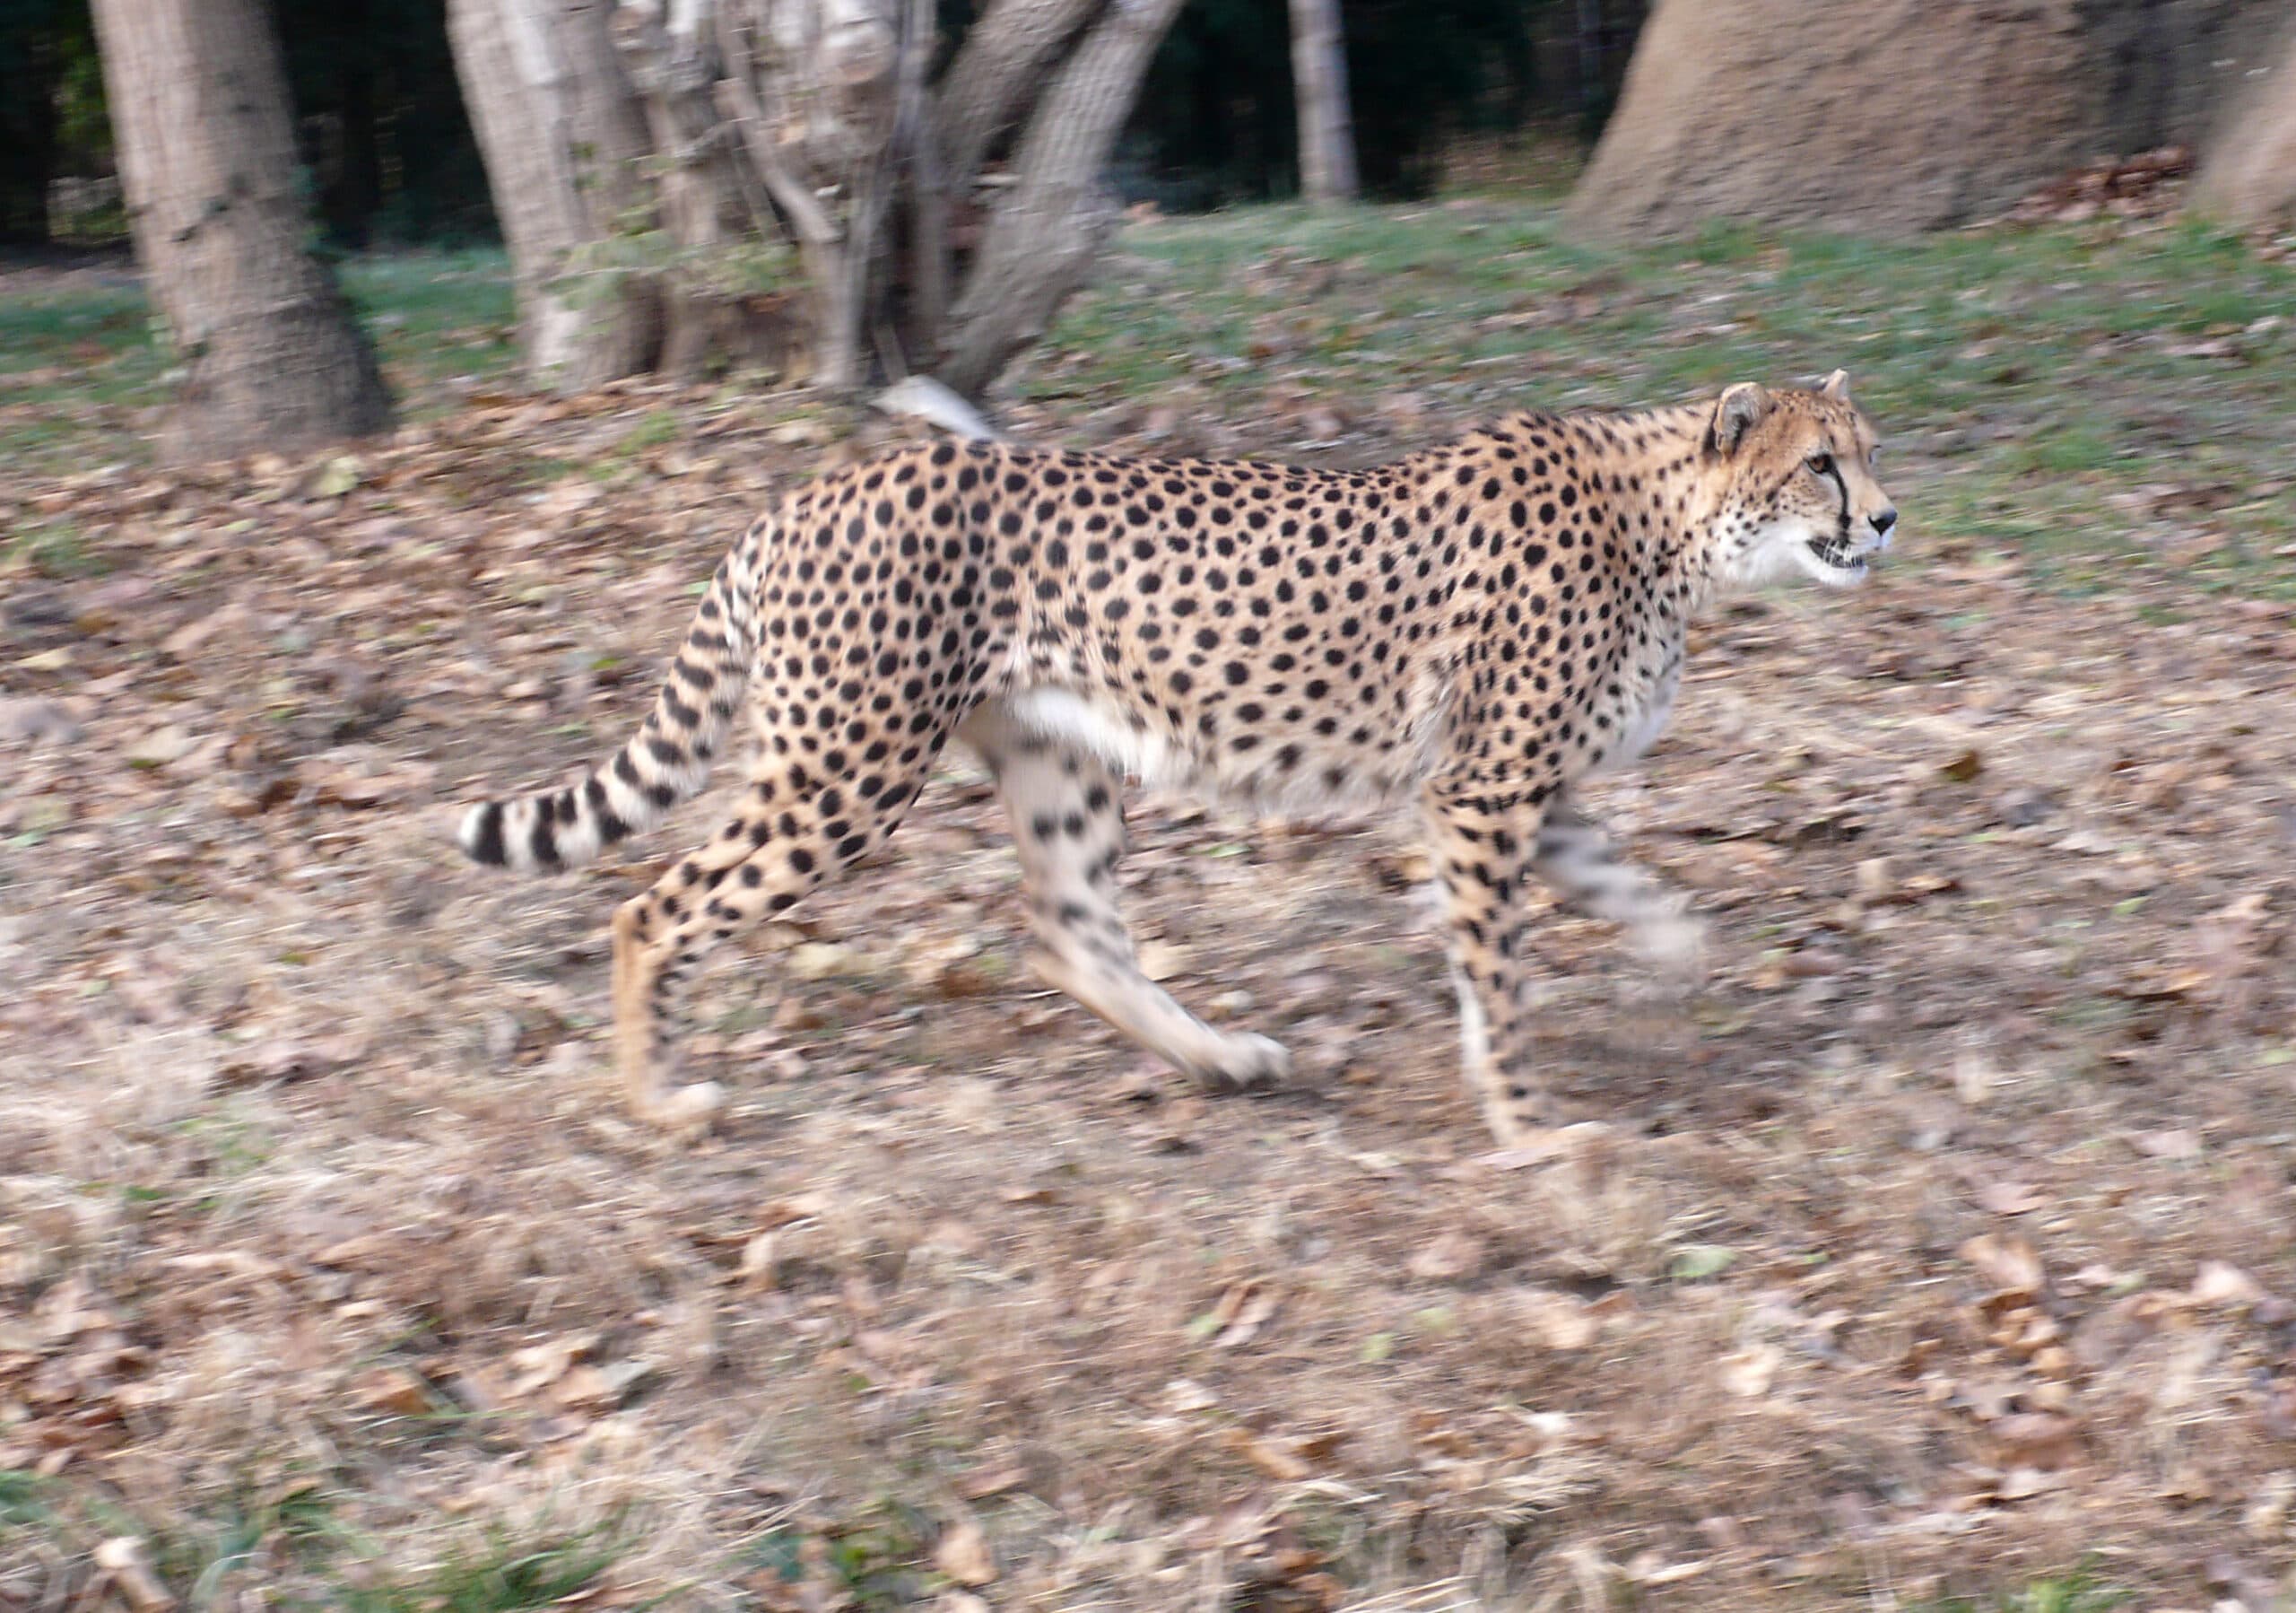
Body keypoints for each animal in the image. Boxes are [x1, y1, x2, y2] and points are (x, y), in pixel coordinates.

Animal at [457, 371, 1897, 1144]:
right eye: (1821, 466)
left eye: (1869, 456)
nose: (1886, 519)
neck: (1672, 529)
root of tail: (803, 495)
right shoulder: (1484, 791)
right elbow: (1497, 977)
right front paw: (1531, 1127)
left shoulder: (1512, 791)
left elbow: (1639, 894)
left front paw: (1677, 971)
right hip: (847, 770)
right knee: (651, 908)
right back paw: (656, 1099)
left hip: (1055, 760)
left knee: (1065, 928)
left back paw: (1222, 1059)